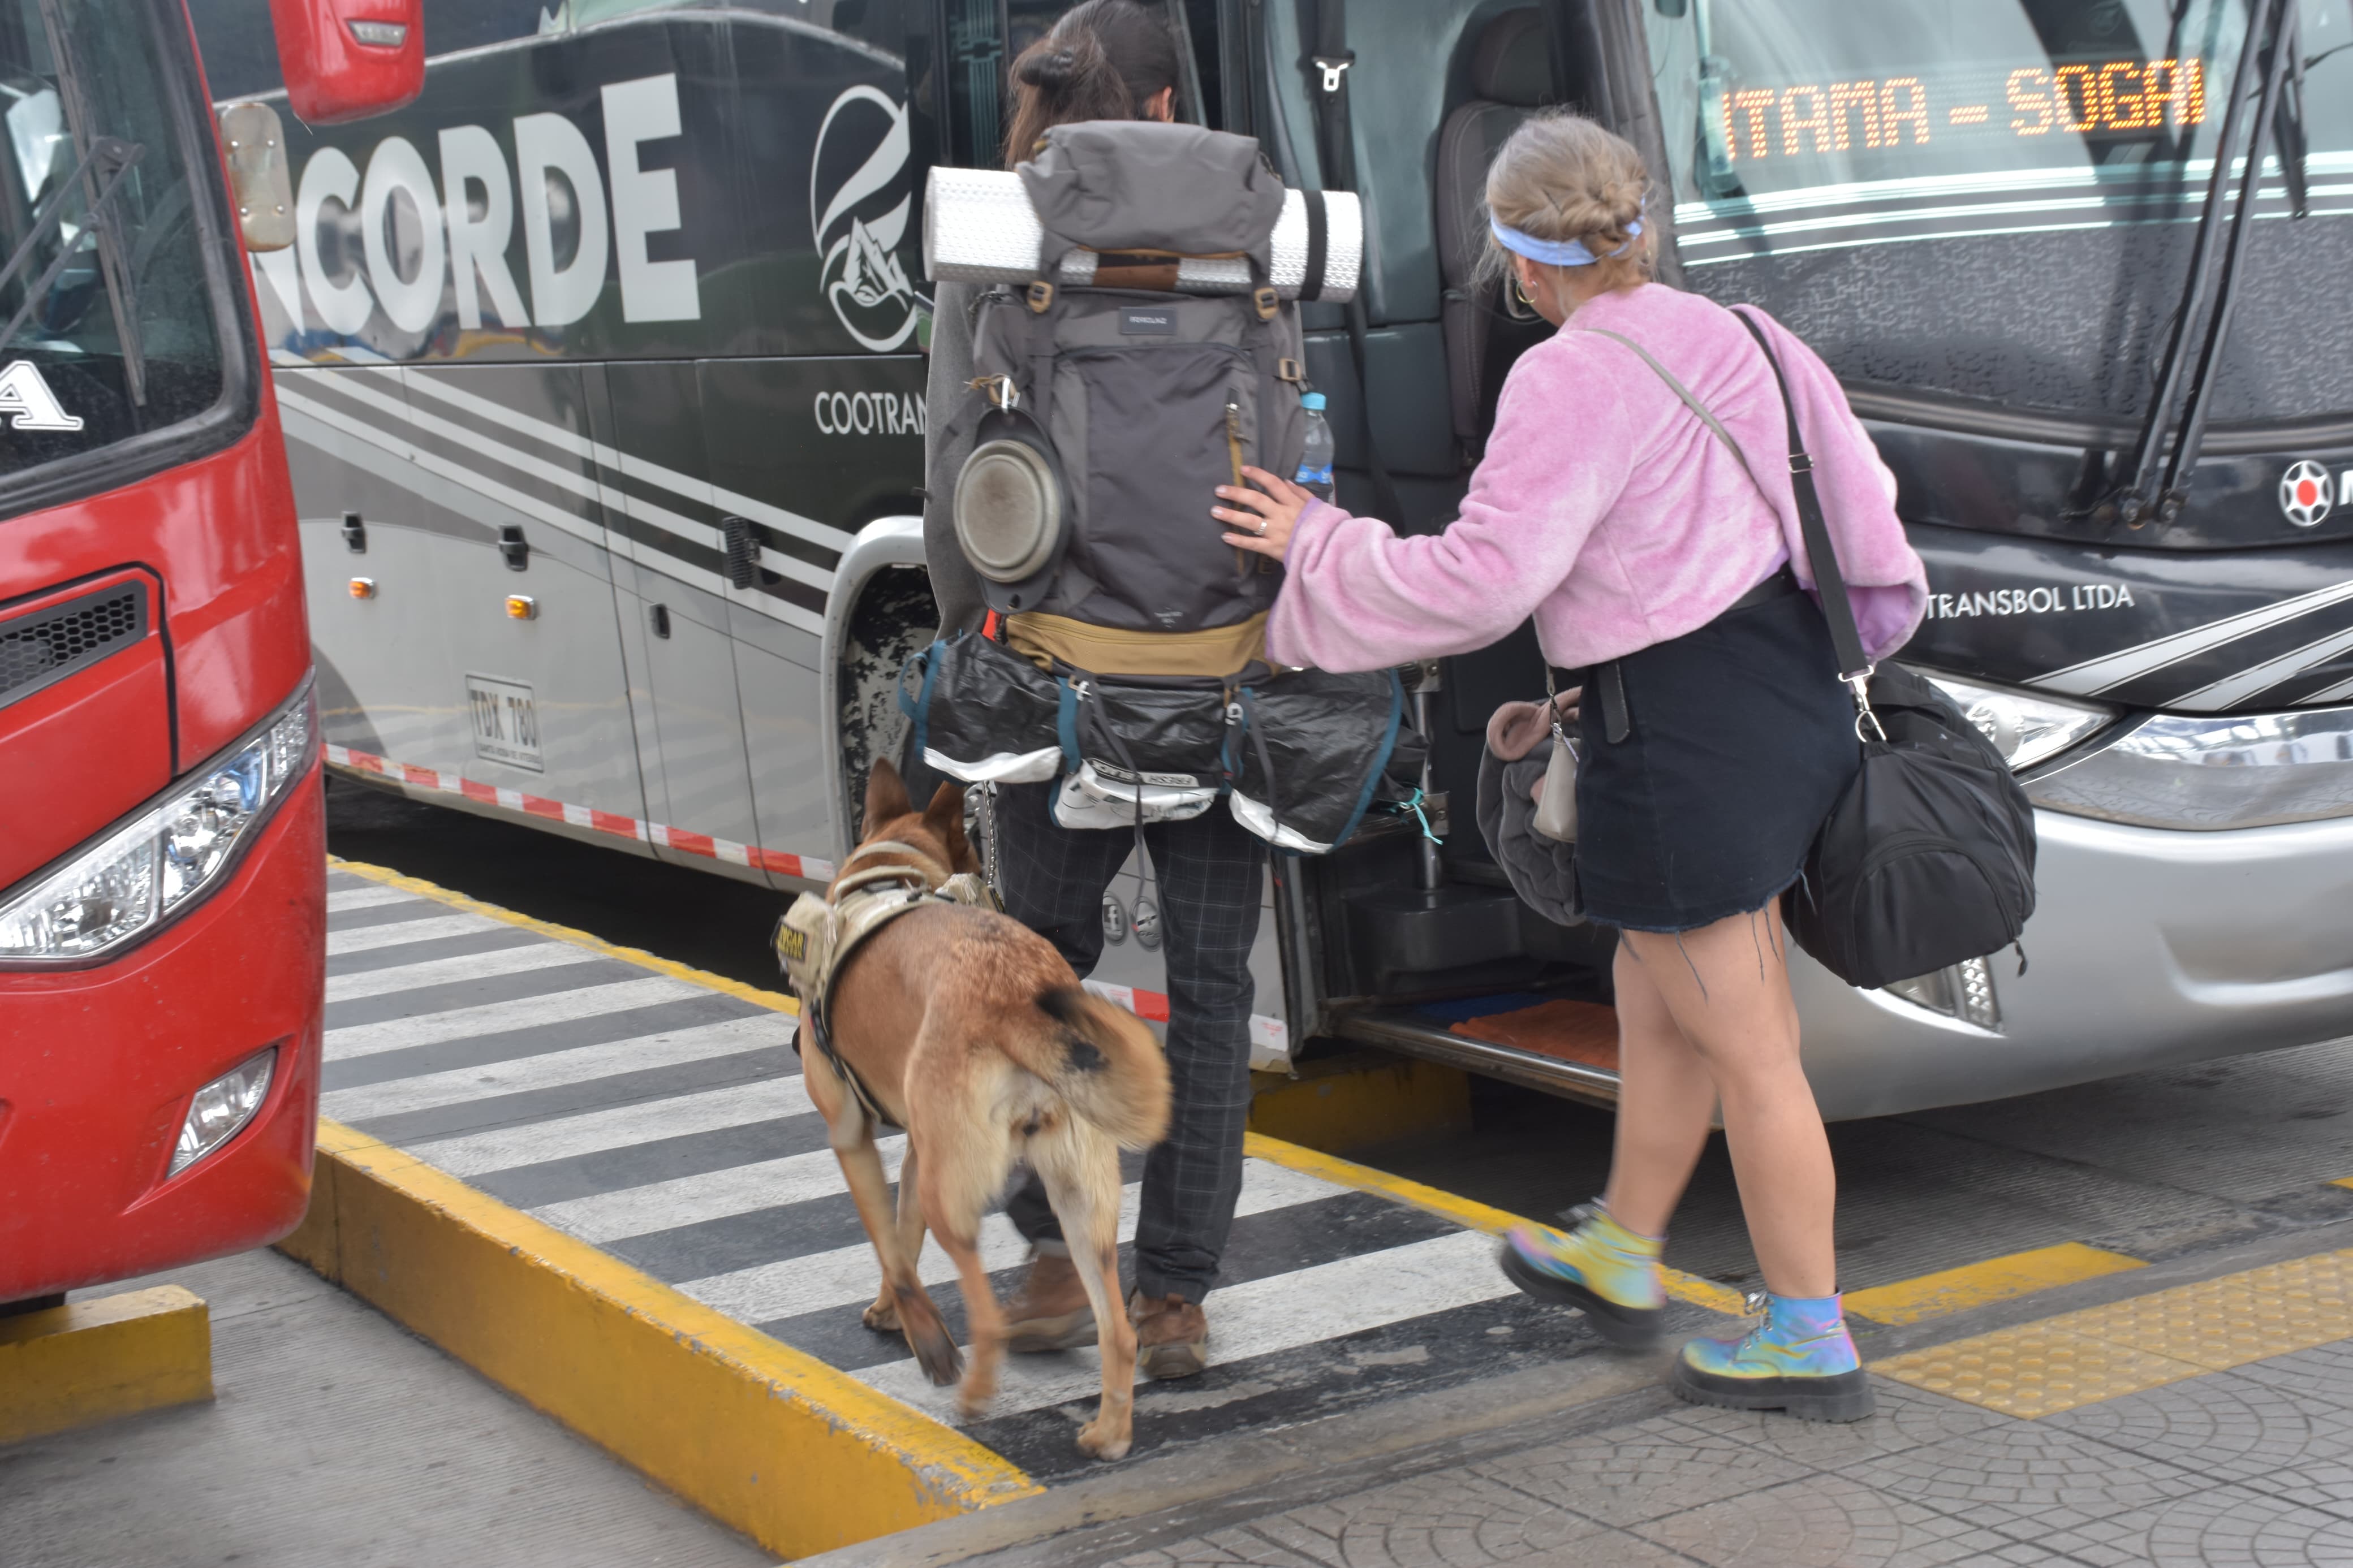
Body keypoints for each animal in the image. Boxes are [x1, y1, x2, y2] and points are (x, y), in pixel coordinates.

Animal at [804, 762, 1171, 1457]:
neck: (887, 872)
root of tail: (1015, 996)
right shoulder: (917, 1152)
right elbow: (903, 1237)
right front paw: (893, 1313)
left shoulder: (849, 1134)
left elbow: (891, 1247)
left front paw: (922, 1339)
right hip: (1079, 1199)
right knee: (1117, 1329)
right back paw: (1110, 1432)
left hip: (957, 1192)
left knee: (987, 1313)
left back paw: (973, 1389)